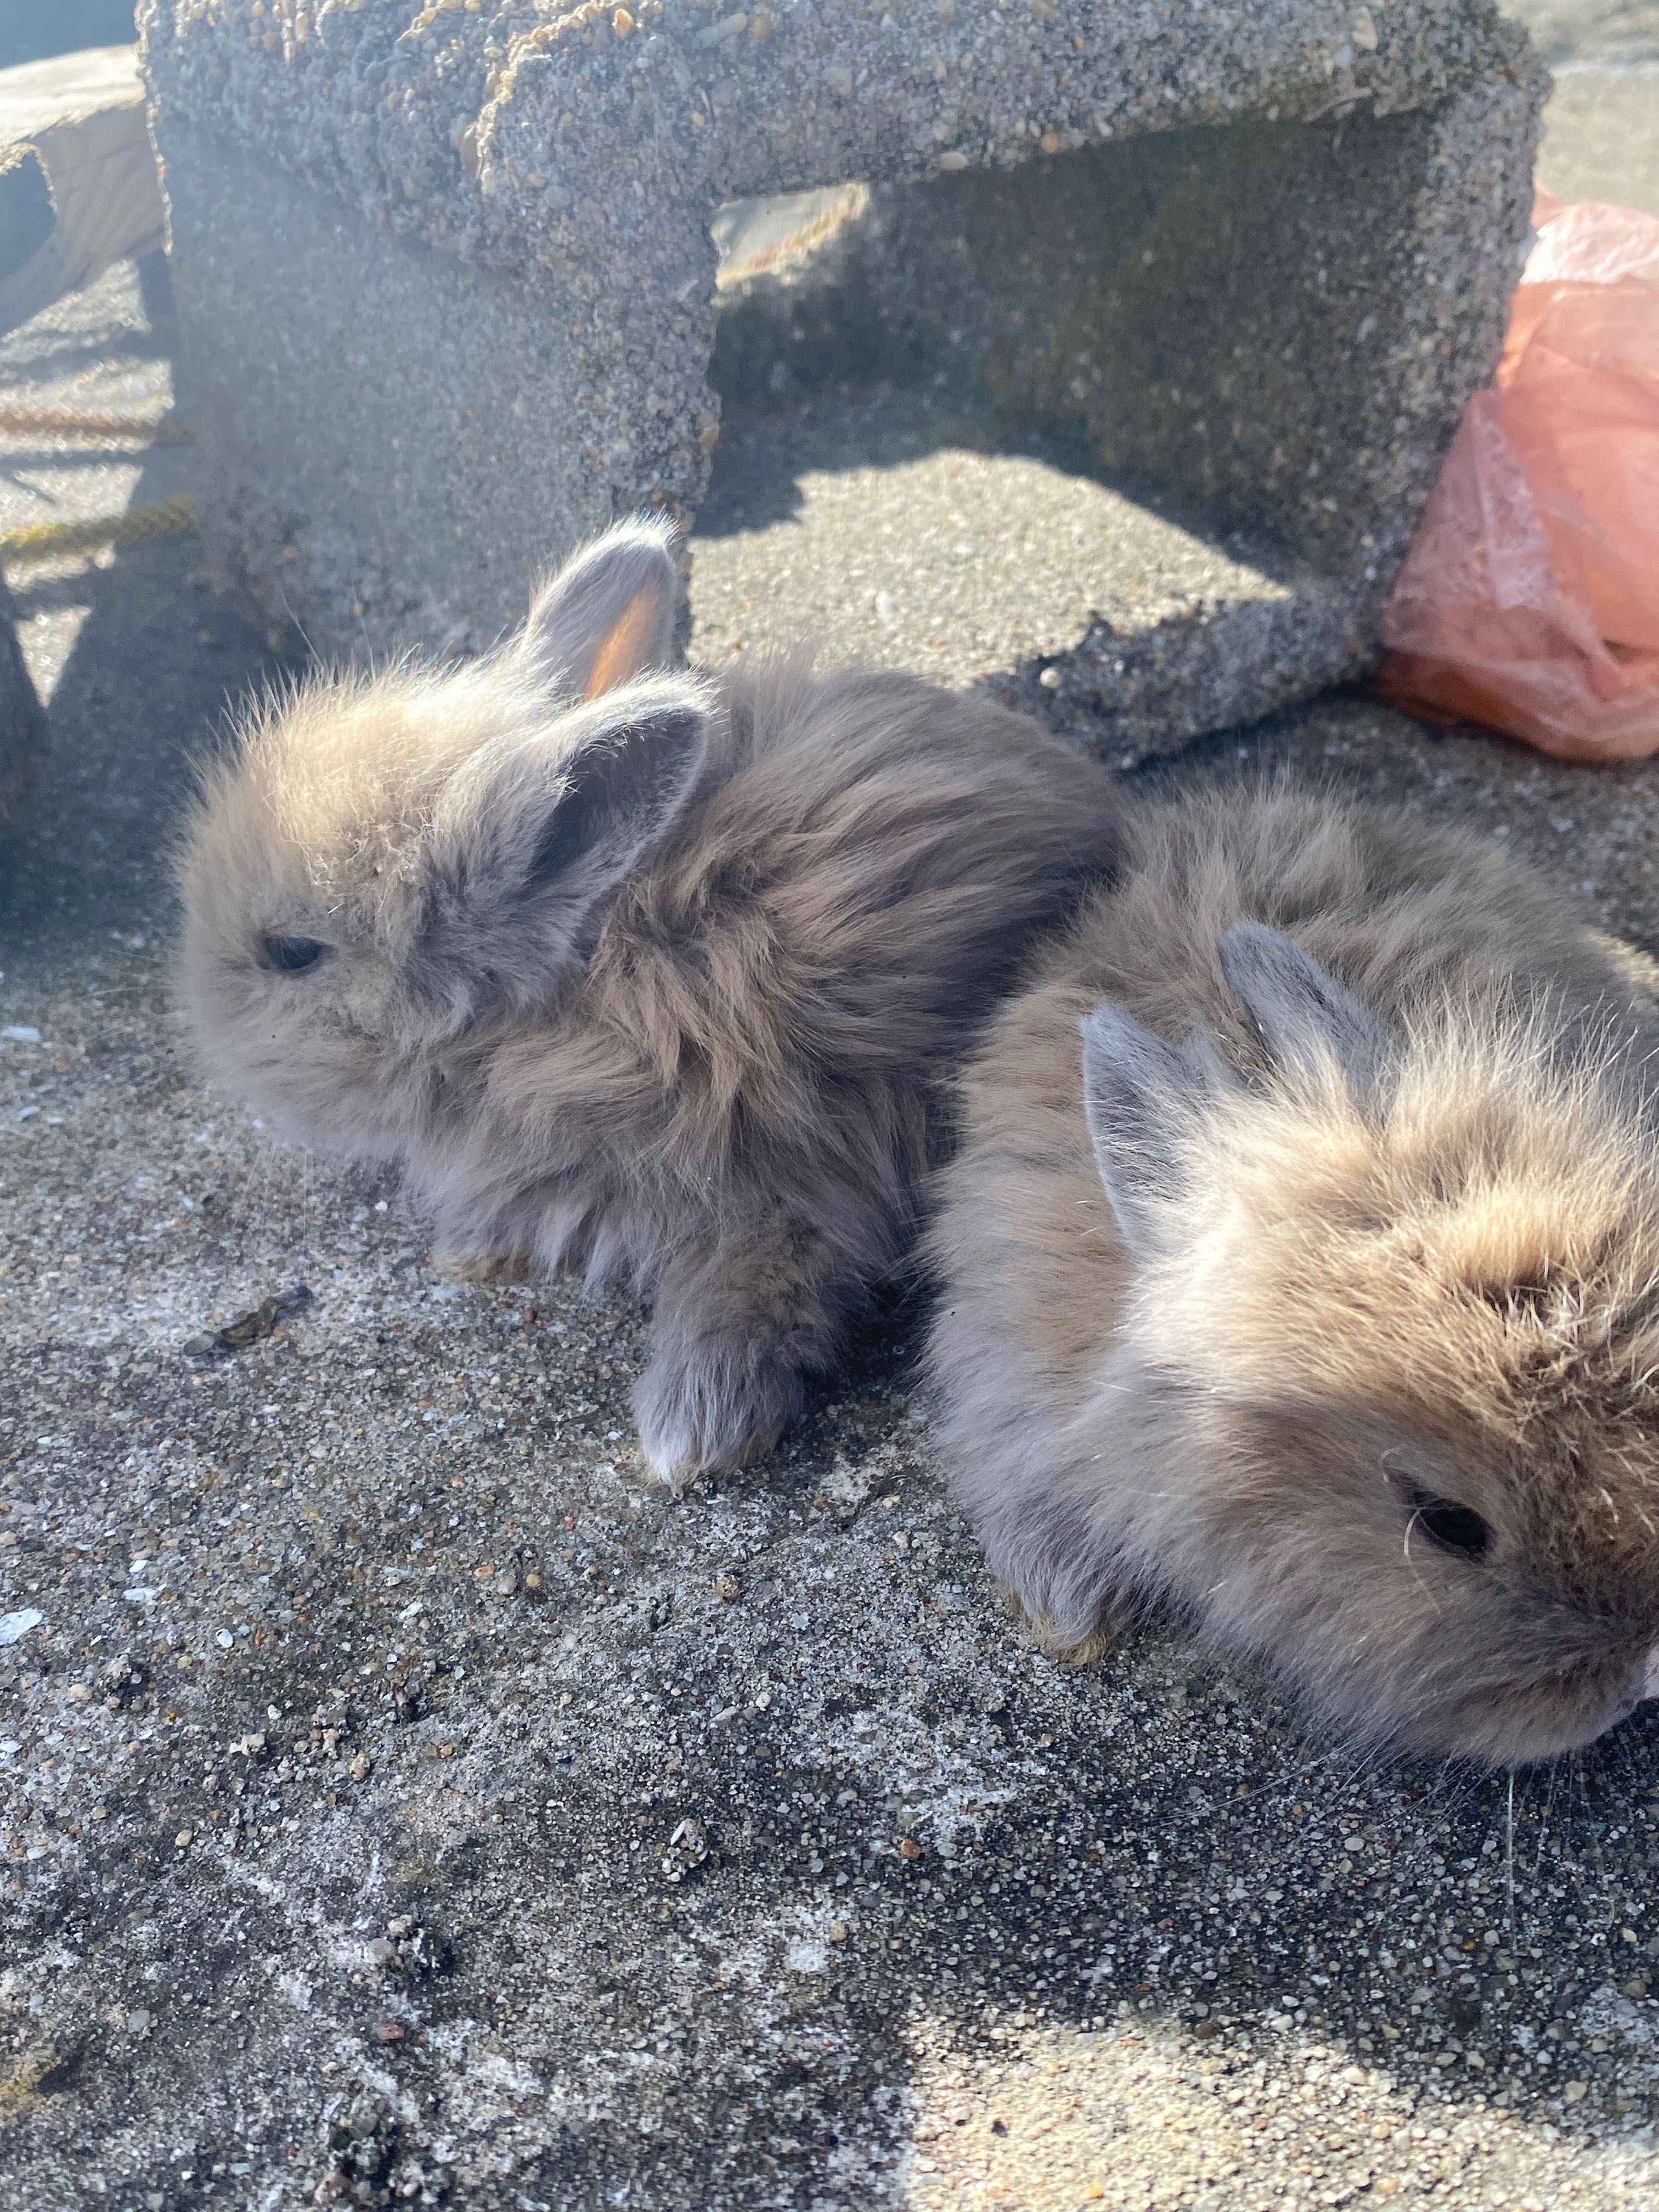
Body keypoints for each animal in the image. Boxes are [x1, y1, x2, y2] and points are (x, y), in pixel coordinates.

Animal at [179, 520, 1132, 1486]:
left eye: (292, 953)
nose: (196, 1016)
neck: (572, 1000)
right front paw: (473, 1253)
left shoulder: (798, 1178)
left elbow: (755, 1288)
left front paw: (691, 1438)